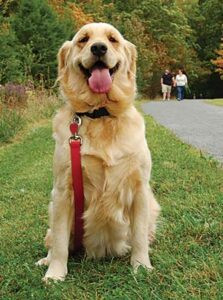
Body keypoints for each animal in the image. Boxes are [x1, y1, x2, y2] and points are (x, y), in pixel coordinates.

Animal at [36, 21, 159, 282]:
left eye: (113, 39)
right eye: (83, 39)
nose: (99, 48)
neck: (100, 114)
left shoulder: (140, 189)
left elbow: (139, 235)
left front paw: (141, 265)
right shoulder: (63, 191)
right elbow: (60, 243)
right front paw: (55, 273)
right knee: (53, 241)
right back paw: (46, 260)